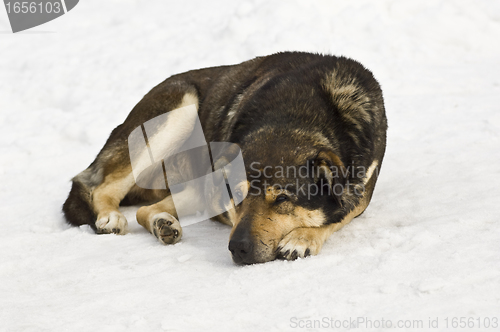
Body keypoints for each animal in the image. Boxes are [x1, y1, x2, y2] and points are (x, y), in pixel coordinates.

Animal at [62, 52, 388, 264]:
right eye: (236, 195)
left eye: (282, 199)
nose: (238, 249)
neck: (297, 116)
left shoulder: (361, 190)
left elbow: (340, 213)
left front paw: (302, 238)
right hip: (180, 107)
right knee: (102, 187)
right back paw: (111, 217)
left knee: (146, 209)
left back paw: (162, 223)